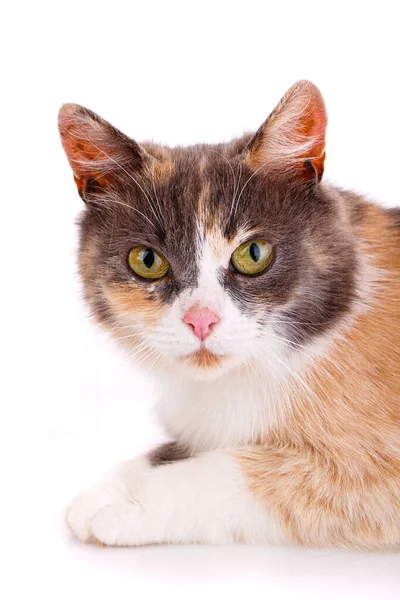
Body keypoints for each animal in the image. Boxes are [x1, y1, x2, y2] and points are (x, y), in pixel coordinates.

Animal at [58, 81, 400, 552]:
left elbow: (233, 469)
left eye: (253, 254)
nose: (201, 320)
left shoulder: (373, 472)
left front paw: (128, 505)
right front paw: (111, 487)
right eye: (147, 260)